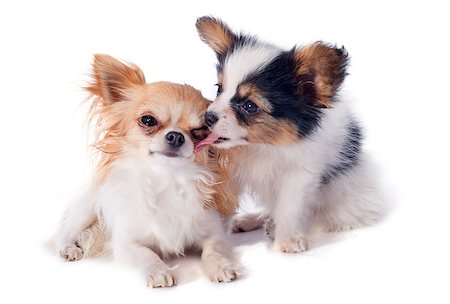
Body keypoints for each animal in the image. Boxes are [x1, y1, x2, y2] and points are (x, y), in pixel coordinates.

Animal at [57, 55, 239, 288]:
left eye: (200, 131)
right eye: (148, 120)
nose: (176, 136)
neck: (167, 180)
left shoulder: (213, 232)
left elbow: (213, 250)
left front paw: (221, 266)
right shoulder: (126, 243)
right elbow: (146, 254)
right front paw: (158, 271)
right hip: (87, 207)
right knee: (66, 229)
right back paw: (68, 248)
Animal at [195, 16, 384, 253]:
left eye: (250, 106)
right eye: (219, 88)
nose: (208, 117)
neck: (263, 145)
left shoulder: (299, 175)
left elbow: (289, 207)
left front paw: (288, 239)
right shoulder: (232, 172)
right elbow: (223, 203)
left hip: (344, 206)